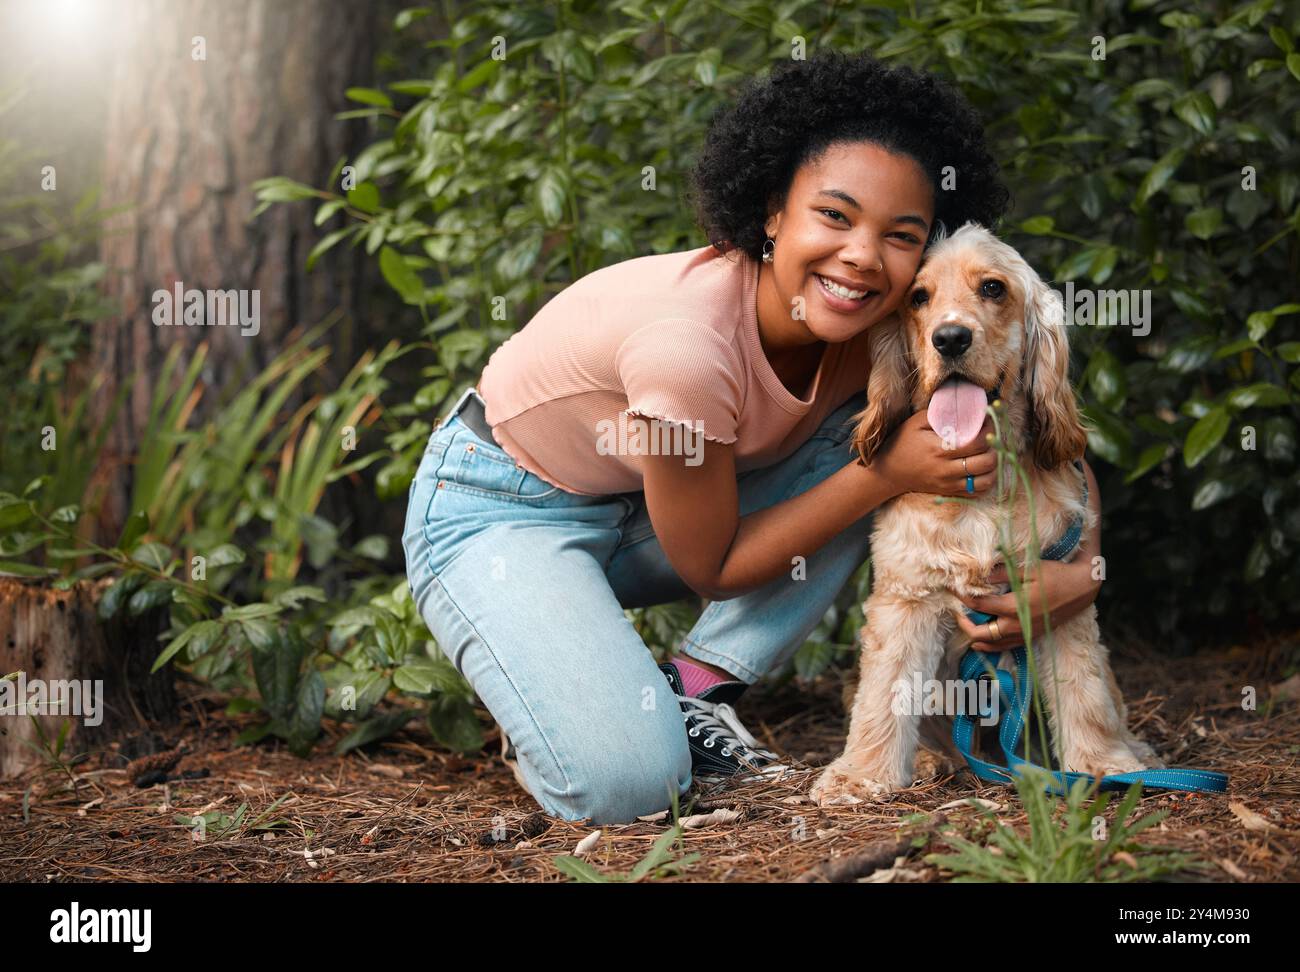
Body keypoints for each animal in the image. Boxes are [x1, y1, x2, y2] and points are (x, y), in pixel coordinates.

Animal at [806, 222, 1164, 805]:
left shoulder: (1060, 598)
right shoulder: (905, 597)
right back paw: (931, 759)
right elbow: (885, 692)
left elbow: (1084, 690)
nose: (950, 338)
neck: (980, 490)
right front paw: (861, 774)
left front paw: (1104, 764)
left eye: (993, 288)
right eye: (918, 298)